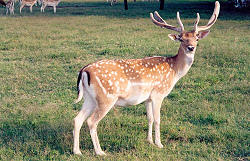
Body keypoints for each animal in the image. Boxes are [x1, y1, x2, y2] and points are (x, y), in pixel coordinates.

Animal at [73, 0, 221, 155]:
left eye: (196, 38)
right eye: (181, 39)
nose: (191, 48)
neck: (174, 70)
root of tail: (84, 70)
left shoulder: (148, 98)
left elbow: (149, 118)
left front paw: (149, 141)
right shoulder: (158, 93)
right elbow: (157, 119)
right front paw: (159, 143)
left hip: (89, 98)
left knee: (77, 119)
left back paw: (77, 151)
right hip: (106, 97)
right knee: (91, 122)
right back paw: (99, 151)